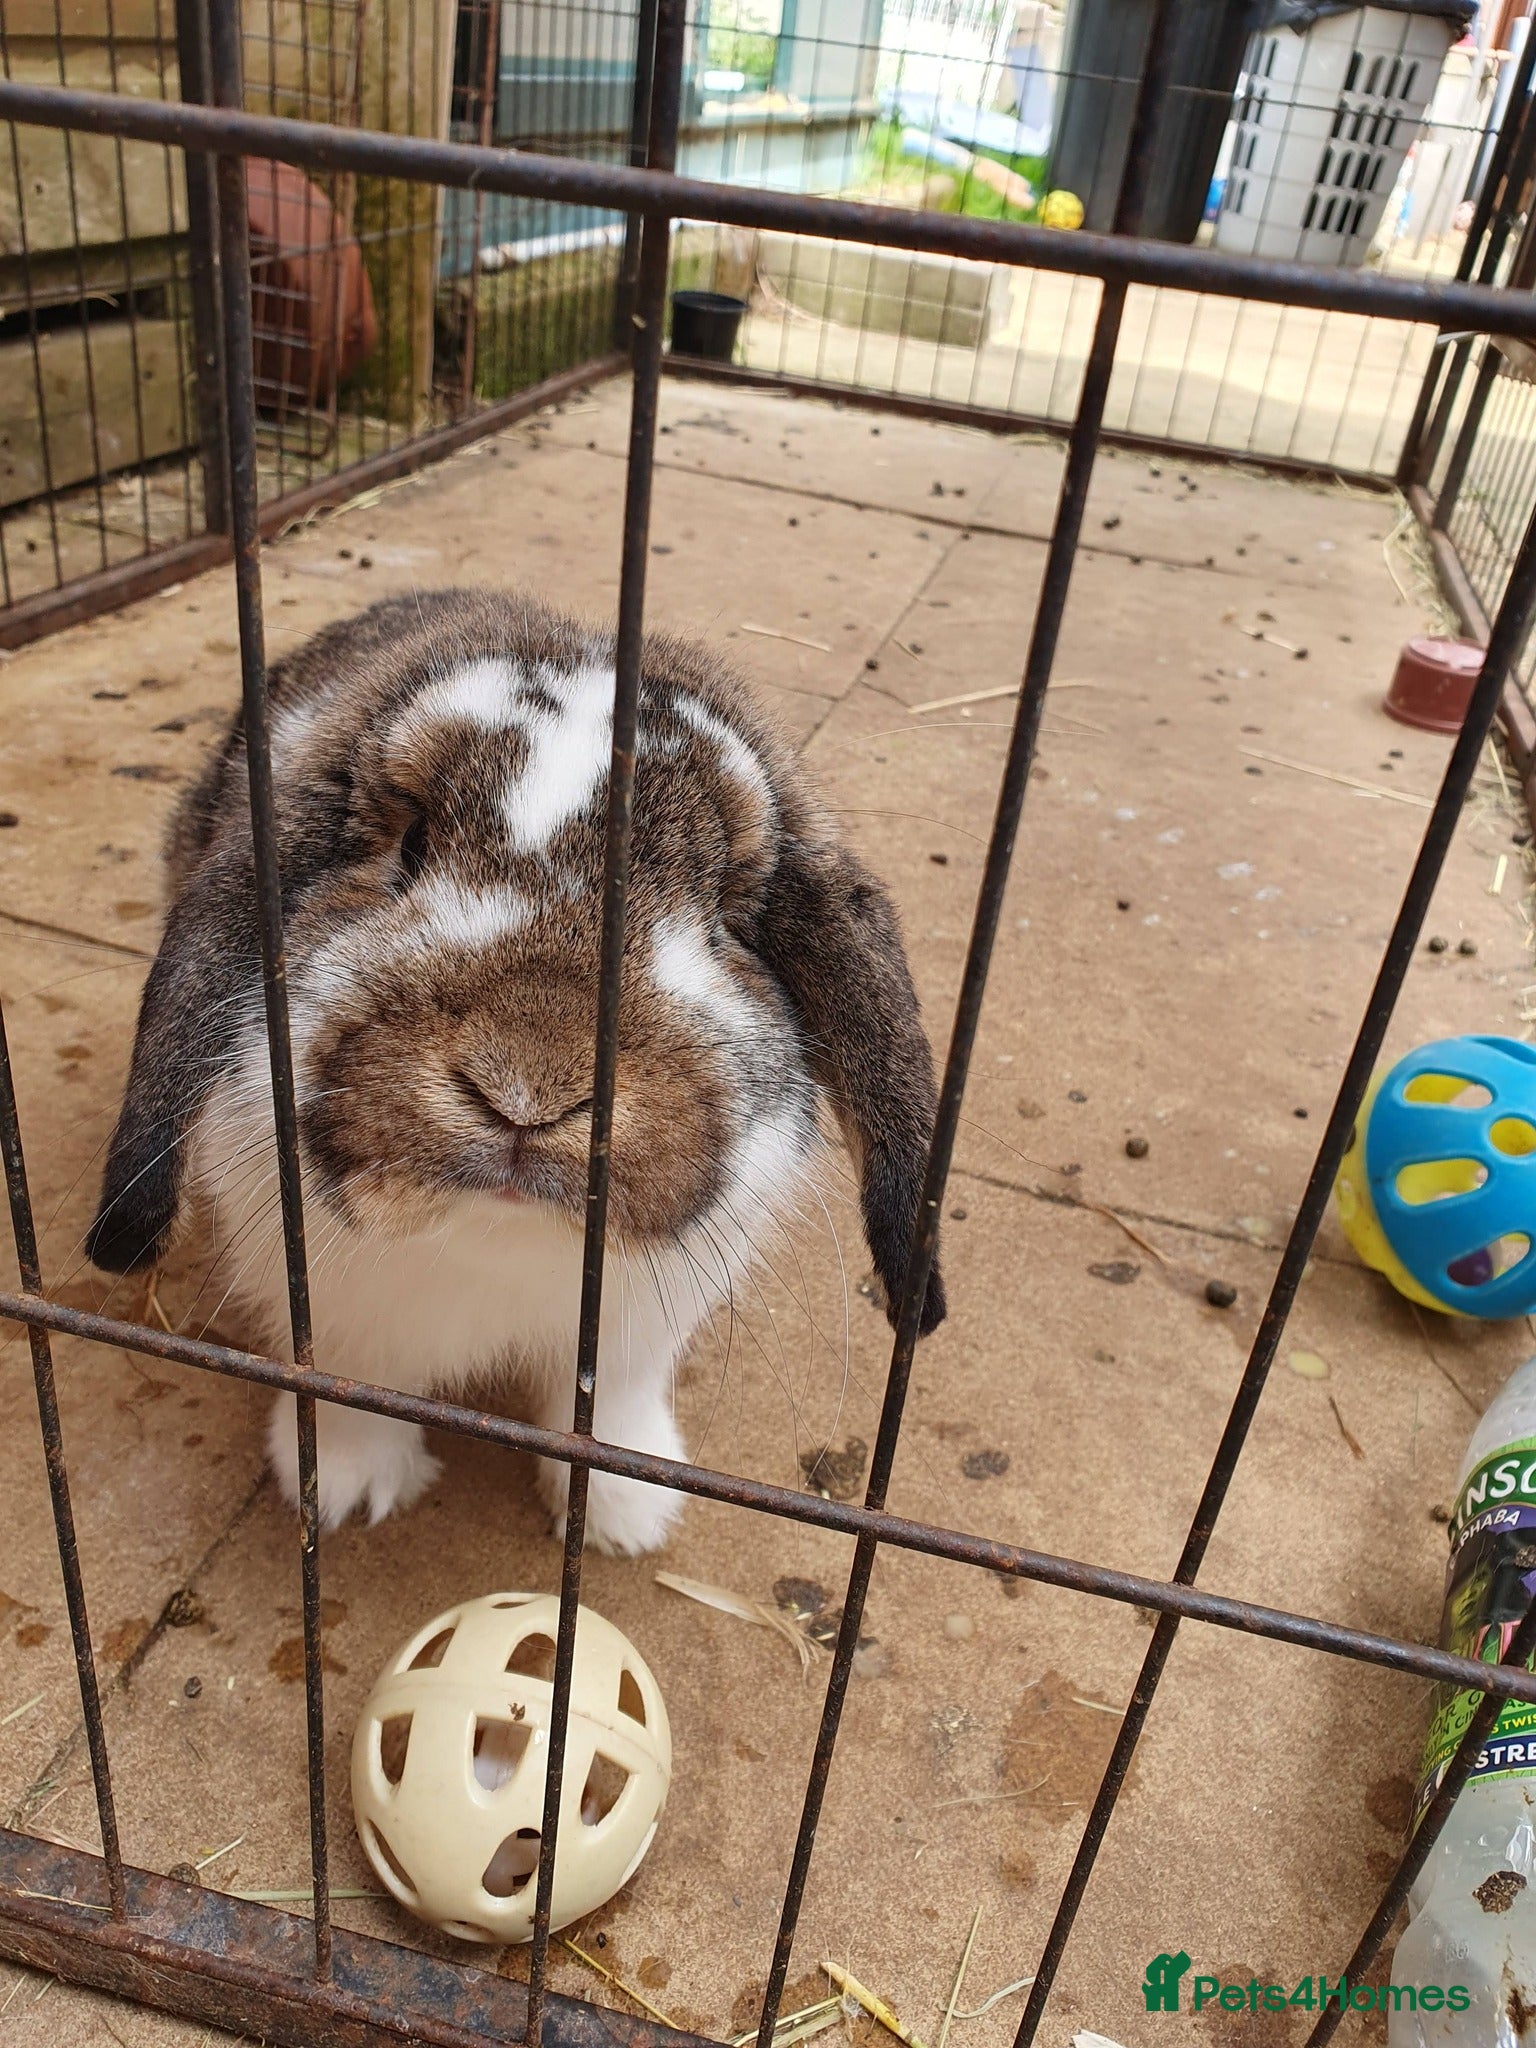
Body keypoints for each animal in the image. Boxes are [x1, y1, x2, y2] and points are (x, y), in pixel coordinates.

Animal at [87, 588, 946, 1555]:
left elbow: (611, 1415)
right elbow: (349, 1390)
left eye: (723, 907)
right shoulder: (334, 1320)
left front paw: (625, 1516)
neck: (498, 1238)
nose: (527, 1093)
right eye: (409, 846)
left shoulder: (632, 1340)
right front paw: (349, 1488)